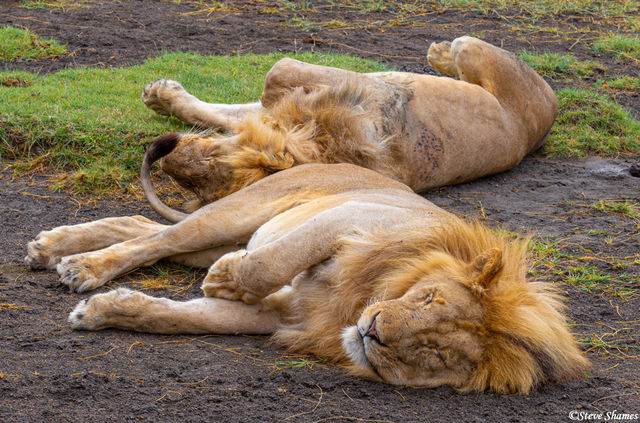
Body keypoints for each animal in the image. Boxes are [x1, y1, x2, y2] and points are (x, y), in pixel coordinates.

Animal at [25, 163, 589, 394]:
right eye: (427, 298)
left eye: (436, 353)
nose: (373, 332)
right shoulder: (351, 218)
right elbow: (275, 260)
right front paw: (225, 279)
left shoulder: (278, 315)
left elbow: (178, 317)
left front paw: (104, 312)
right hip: (237, 215)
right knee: (160, 237)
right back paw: (76, 263)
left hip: (212, 237)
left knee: (143, 229)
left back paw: (59, 251)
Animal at [139, 36, 557, 222]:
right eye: (190, 188)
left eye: (209, 164)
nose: (164, 157)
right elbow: (233, 113)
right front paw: (163, 96)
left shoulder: (355, 87)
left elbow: (273, 77)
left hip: (472, 47)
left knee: (460, 49)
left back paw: (438, 52)